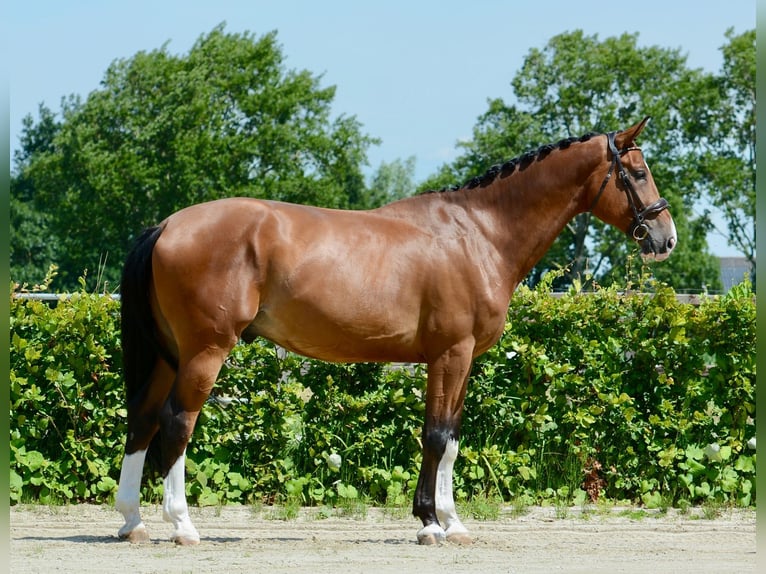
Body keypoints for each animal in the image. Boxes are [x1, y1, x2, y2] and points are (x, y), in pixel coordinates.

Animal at [114, 117, 676, 546]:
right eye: (638, 172)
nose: (665, 239)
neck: (478, 234)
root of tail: (167, 225)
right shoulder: (452, 353)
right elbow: (437, 436)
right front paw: (433, 523)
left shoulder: (458, 359)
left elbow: (450, 439)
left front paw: (448, 522)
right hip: (204, 352)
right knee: (175, 424)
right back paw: (182, 526)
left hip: (169, 355)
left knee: (141, 421)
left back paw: (132, 522)